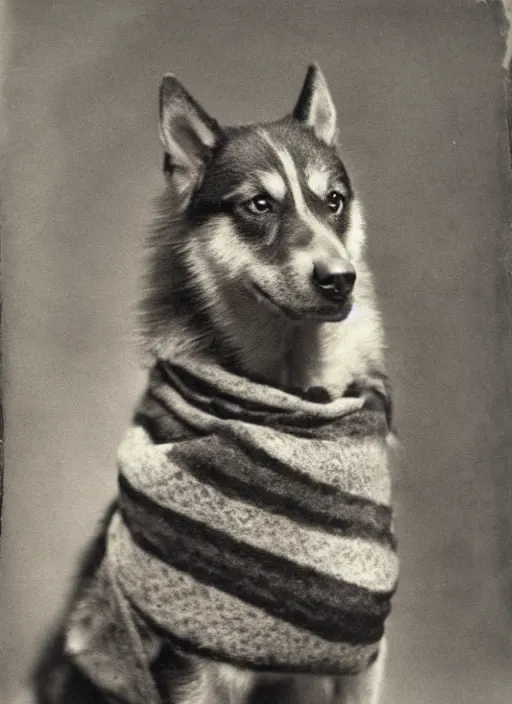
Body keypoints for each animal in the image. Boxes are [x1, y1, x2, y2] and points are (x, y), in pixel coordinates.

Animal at [35, 66, 396, 704]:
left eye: (333, 201)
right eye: (259, 204)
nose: (340, 280)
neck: (290, 397)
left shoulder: (362, 665)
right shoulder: (196, 670)